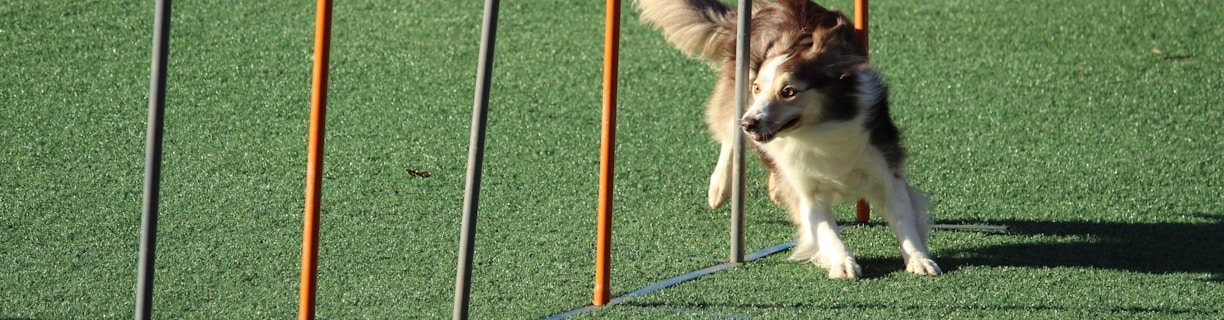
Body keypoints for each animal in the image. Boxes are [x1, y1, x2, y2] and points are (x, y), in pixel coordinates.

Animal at [636, 0, 940, 275]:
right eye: (758, 88)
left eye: (789, 91)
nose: (749, 123)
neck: (818, 132)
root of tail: (768, 4)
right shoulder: (805, 187)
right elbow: (826, 231)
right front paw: (843, 262)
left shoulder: (883, 166)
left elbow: (903, 215)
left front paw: (919, 259)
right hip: (736, 90)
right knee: (728, 133)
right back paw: (720, 187)